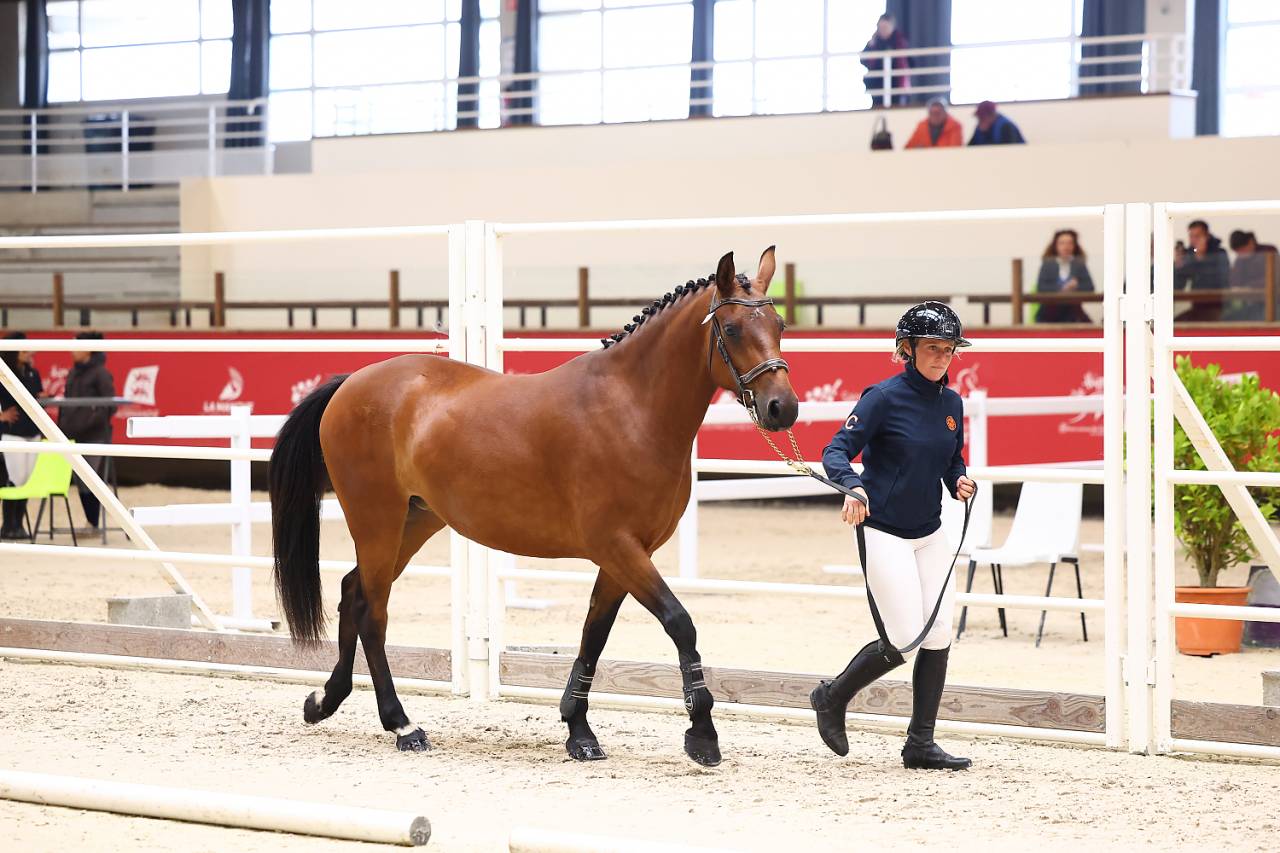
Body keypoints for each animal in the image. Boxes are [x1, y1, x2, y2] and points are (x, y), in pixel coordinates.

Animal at [269, 247, 798, 766]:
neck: (630, 409)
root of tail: (350, 384)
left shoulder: (625, 555)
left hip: (414, 522)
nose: (783, 408)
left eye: (779, 325)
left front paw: (579, 731)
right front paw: (702, 734)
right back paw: (402, 725)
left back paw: (325, 700)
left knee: (352, 593)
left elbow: (594, 634)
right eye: (732, 329)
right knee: (372, 611)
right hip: (376, 520)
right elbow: (679, 623)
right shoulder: (619, 547)